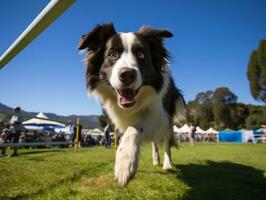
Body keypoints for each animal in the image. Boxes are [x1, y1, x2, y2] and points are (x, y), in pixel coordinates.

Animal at [77, 23, 185, 186]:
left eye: (141, 55)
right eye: (112, 54)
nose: (127, 74)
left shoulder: (158, 115)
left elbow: (133, 129)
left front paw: (124, 163)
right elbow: (128, 131)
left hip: (167, 121)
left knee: (166, 142)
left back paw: (167, 164)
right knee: (155, 142)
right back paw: (156, 159)